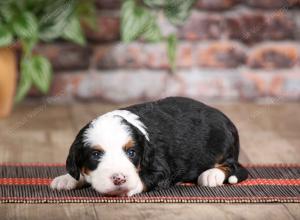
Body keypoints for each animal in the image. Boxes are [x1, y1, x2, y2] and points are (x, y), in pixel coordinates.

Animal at [51, 97, 248, 197]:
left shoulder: (161, 169)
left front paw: (128, 187)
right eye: (96, 154)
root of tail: (228, 120)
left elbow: (143, 179)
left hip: (225, 147)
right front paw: (66, 179)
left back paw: (211, 175)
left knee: (234, 166)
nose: (119, 179)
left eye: (131, 152)